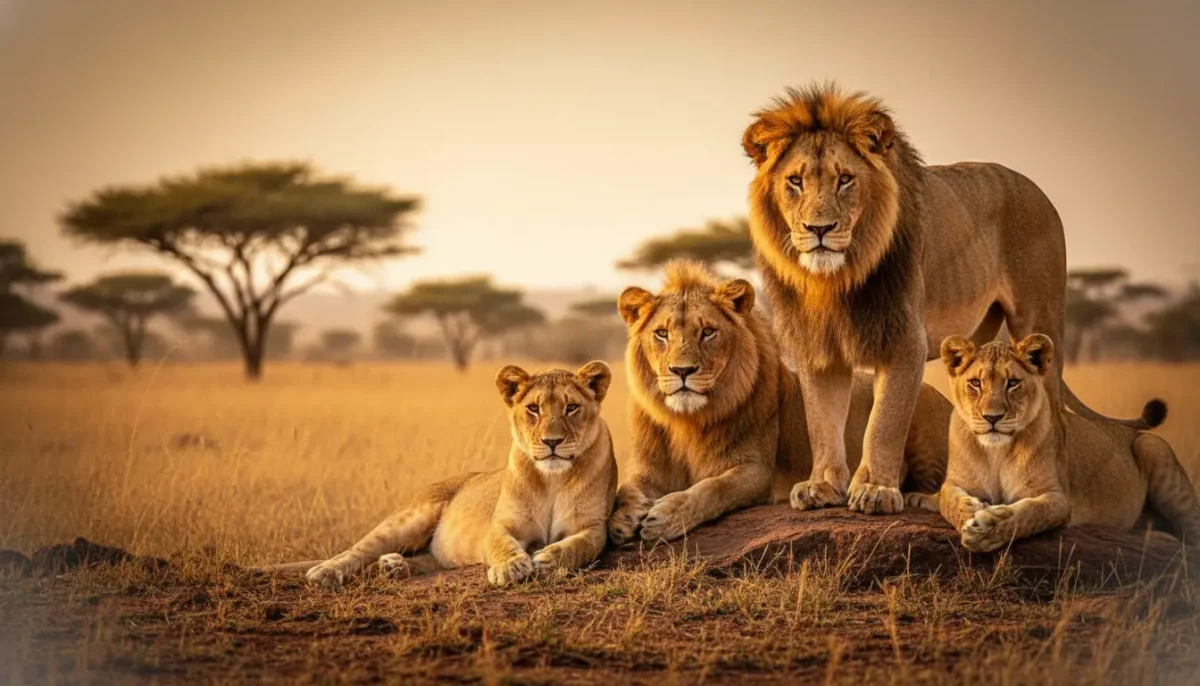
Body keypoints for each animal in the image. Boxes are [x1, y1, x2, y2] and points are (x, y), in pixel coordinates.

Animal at [300, 362, 618, 589]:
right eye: (533, 408)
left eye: (572, 407)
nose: (552, 442)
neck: (552, 478)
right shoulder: (501, 525)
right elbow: (500, 544)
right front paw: (509, 567)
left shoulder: (593, 527)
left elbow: (579, 547)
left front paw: (549, 559)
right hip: (412, 518)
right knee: (360, 549)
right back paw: (324, 571)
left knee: (428, 558)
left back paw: (393, 566)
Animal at [609, 260, 952, 544]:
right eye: (661, 333)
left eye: (707, 331)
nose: (682, 371)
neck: (686, 420)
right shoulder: (648, 471)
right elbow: (626, 488)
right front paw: (622, 520)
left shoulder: (755, 471)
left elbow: (712, 489)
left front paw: (667, 516)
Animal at [741, 83, 1137, 516]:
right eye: (795, 181)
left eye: (845, 179)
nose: (819, 229)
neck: (834, 280)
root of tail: (1036, 189)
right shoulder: (817, 348)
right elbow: (822, 423)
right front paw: (822, 485)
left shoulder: (904, 341)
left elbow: (884, 423)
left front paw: (876, 489)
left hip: (1039, 320)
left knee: (1054, 419)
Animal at [919, 334, 1200, 553]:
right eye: (975, 383)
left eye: (1013, 383)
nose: (993, 417)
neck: (996, 450)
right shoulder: (954, 483)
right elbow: (949, 503)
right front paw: (970, 513)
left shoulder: (1059, 499)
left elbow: (1030, 513)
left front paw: (989, 527)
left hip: (1152, 447)